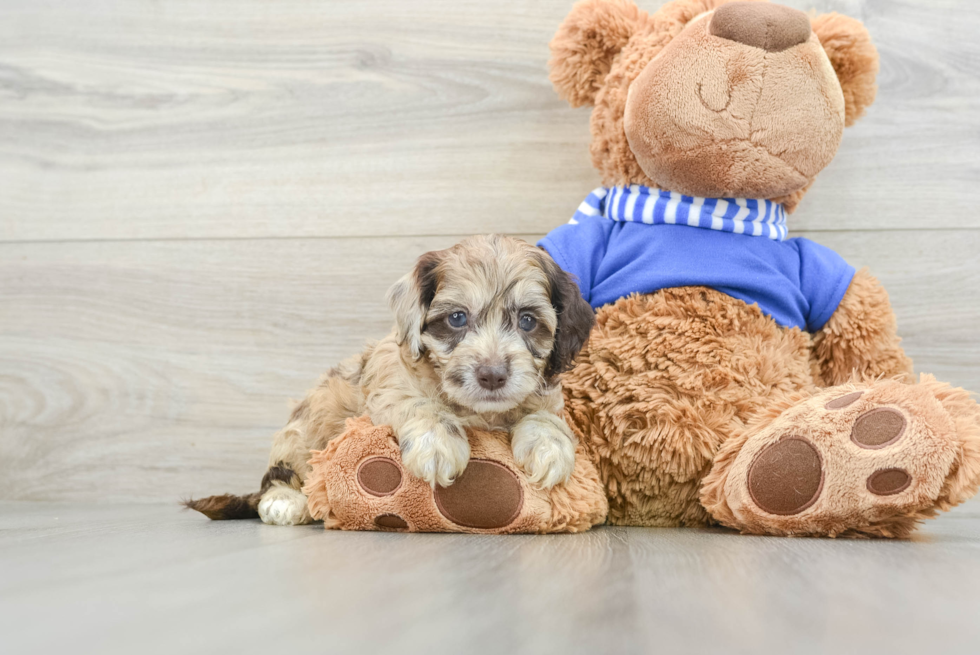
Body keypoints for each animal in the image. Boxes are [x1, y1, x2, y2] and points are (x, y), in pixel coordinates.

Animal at [187, 236, 592, 528]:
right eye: (457, 318)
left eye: (527, 321)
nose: (492, 375)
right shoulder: (387, 384)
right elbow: (418, 403)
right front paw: (438, 442)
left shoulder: (545, 396)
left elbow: (546, 415)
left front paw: (549, 447)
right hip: (304, 426)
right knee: (280, 475)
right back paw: (285, 502)